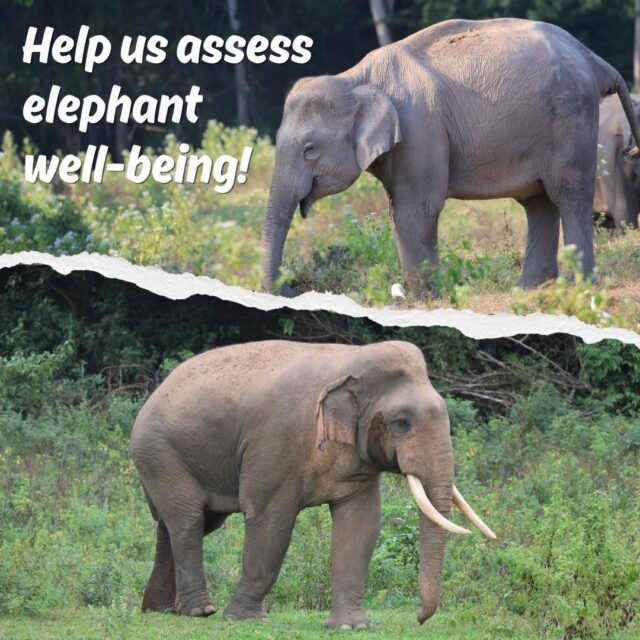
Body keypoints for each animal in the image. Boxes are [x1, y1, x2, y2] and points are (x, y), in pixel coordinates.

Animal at [130, 340, 495, 629]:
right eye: (402, 423)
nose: (418, 618)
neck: (349, 360)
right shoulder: (274, 442)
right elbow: (269, 521)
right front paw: (245, 619)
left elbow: (361, 526)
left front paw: (352, 627)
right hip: (160, 454)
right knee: (189, 522)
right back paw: (200, 611)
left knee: (181, 525)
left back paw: (161, 611)